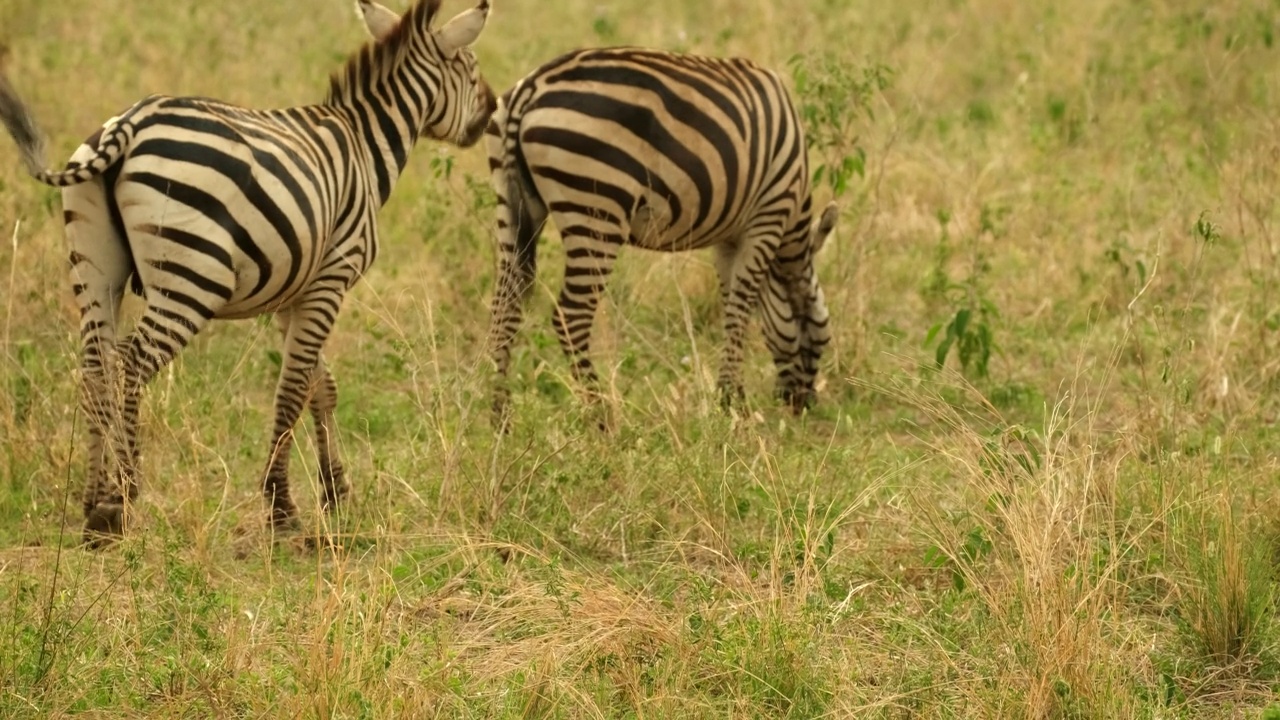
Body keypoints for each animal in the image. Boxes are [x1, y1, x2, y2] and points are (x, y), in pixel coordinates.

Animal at [0, 0, 494, 540]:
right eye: (471, 70)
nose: (492, 111)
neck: (364, 144)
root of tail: (132, 122)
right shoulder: (331, 278)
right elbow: (293, 389)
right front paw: (283, 507)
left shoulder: (293, 294)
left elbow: (320, 387)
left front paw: (336, 494)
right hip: (191, 277)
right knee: (131, 361)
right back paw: (122, 499)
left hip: (93, 266)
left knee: (93, 365)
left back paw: (93, 503)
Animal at [358, 4, 839, 420]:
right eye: (819, 336)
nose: (802, 407)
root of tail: (528, 92)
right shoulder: (767, 215)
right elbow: (742, 304)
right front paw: (729, 401)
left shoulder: (730, 239)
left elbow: (731, 303)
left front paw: (731, 393)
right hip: (597, 208)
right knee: (570, 316)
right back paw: (601, 416)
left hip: (512, 203)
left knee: (504, 305)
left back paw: (500, 417)